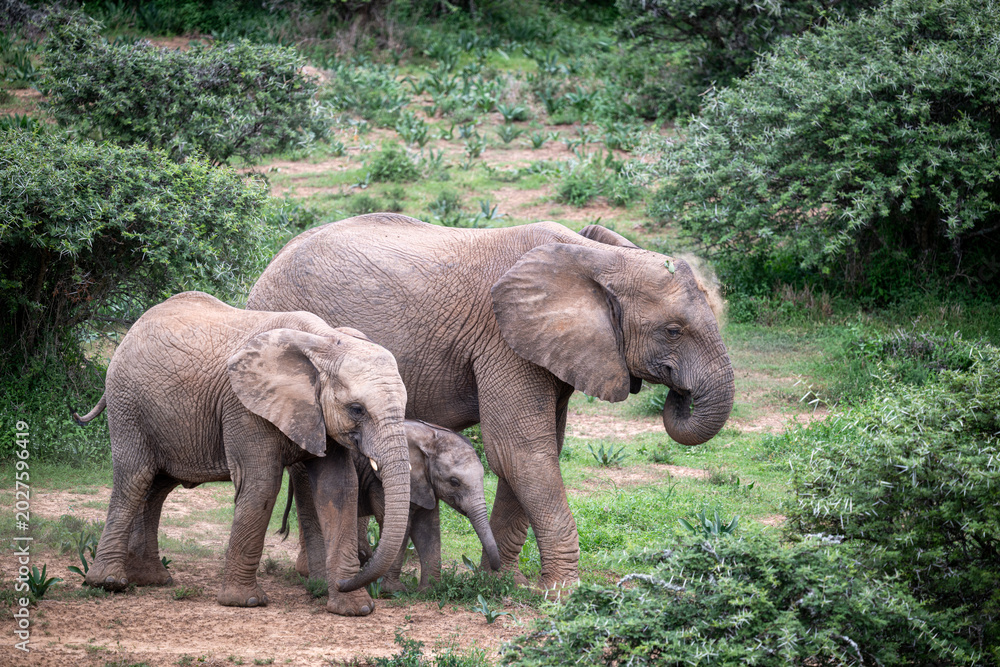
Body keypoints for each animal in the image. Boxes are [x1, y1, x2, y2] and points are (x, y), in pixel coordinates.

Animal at [72, 291, 410, 616]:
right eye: (357, 409)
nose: (348, 579)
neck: (324, 342)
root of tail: (131, 330)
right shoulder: (245, 407)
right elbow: (262, 484)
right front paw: (244, 602)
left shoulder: (317, 417)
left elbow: (338, 489)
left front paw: (356, 608)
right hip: (127, 404)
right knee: (135, 478)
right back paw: (109, 582)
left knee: (157, 486)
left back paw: (152, 579)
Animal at [280, 419, 501, 592]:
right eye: (454, 482)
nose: (494, 569)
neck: (430, 436)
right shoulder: (380, 482)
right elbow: (402, 526)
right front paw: (393, 591)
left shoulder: (425, 484)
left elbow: (428, 529)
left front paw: (430, 591)